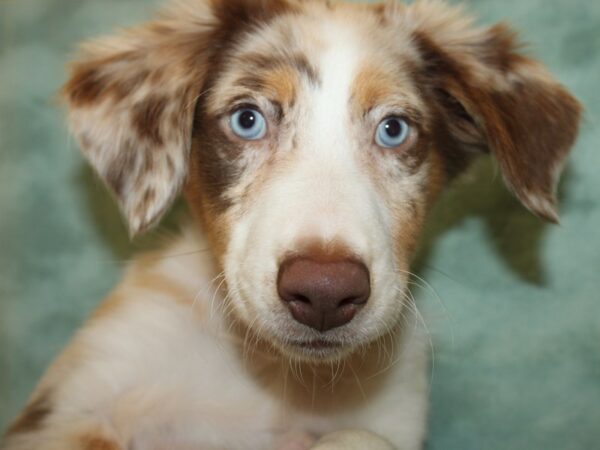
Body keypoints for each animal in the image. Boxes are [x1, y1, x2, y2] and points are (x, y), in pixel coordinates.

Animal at [1, 0, 580, 450]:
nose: (324, 292)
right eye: (247, 119)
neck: (271, 374)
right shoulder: (79, 396)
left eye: (394, 129)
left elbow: (356, 435)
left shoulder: (386, 416)